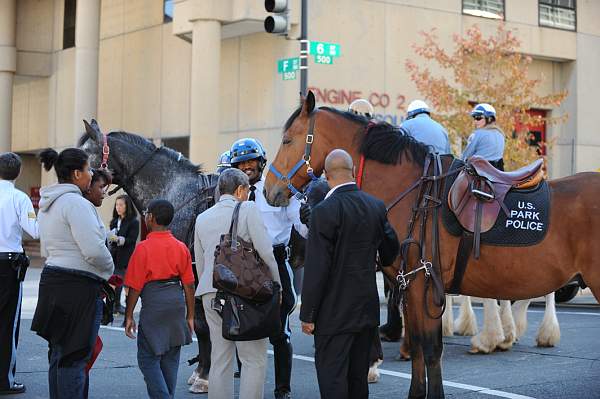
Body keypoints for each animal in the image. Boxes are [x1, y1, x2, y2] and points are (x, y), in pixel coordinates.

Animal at [266, 91, 600, 399]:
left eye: (287, 140)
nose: (270, 190)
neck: (413, 194)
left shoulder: (422, 283)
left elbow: (429, 349)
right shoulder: (410, 286)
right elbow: (417, 346)